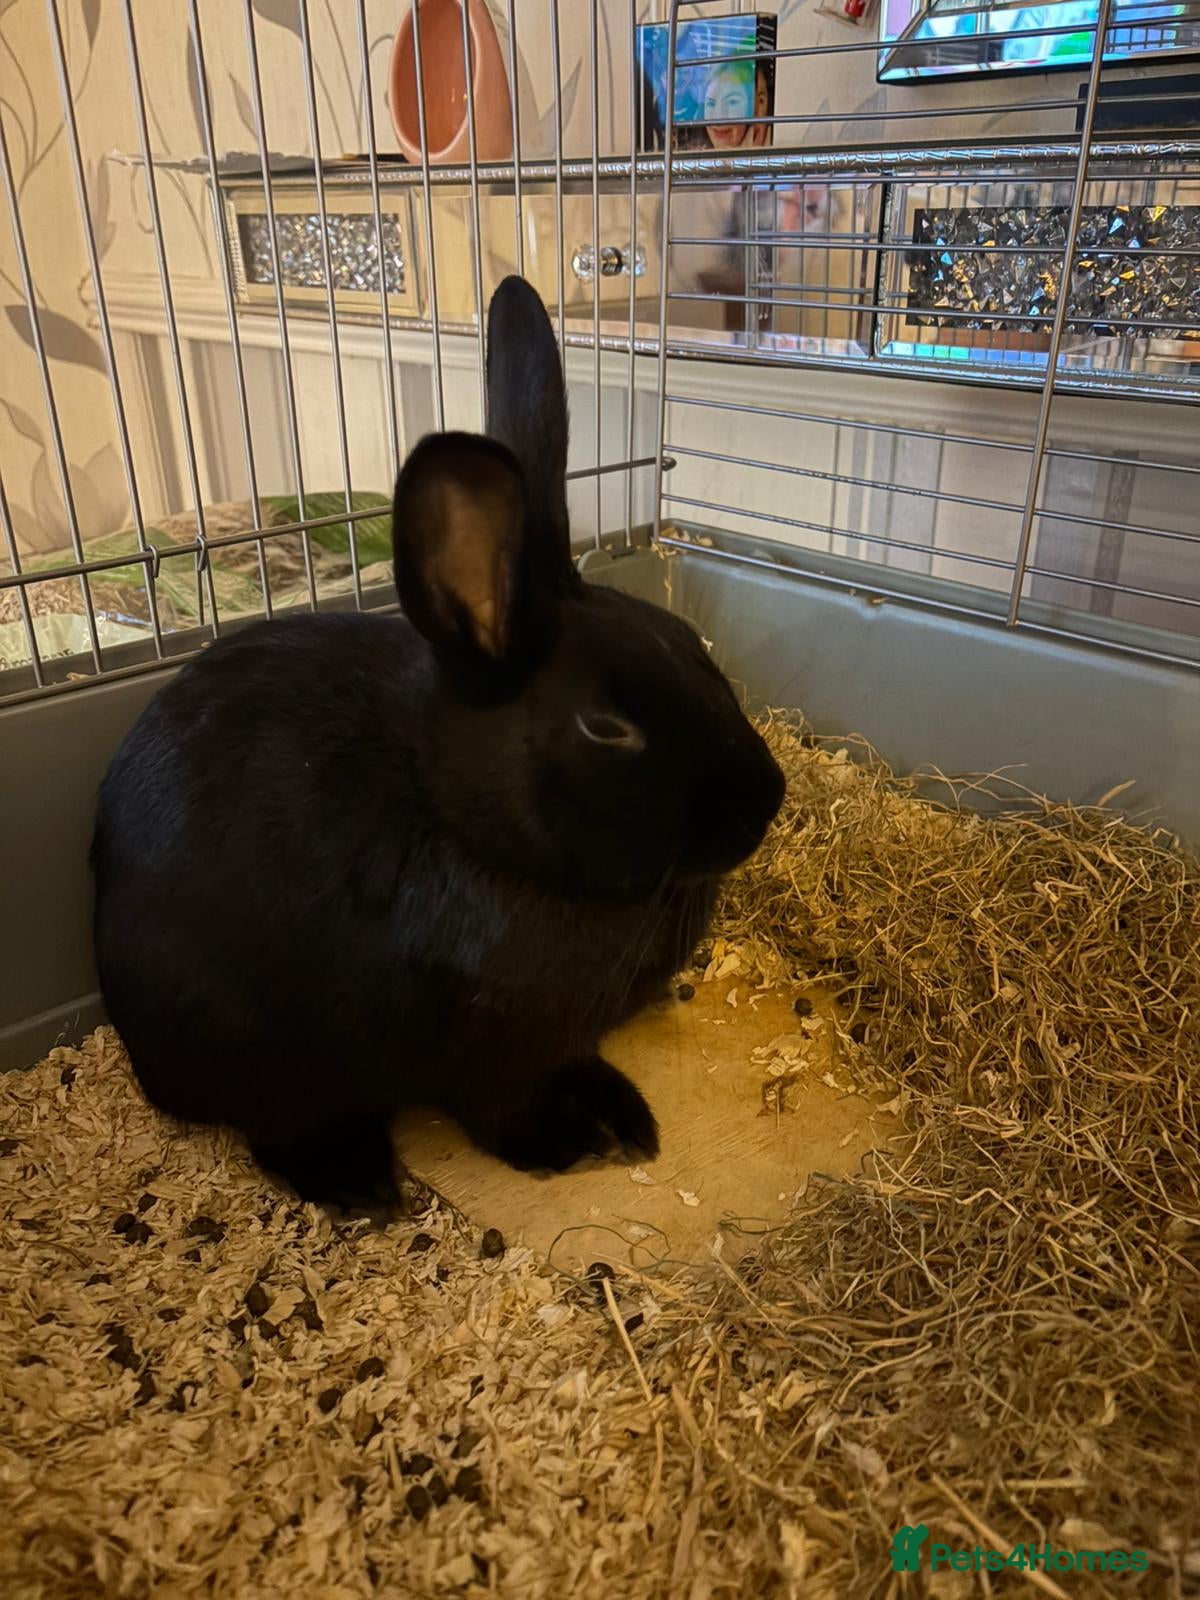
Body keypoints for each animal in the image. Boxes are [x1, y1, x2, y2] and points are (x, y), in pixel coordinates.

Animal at [91, 275, 786, 1212]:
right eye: (607, 726)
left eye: (687, 641)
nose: (768, 801)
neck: (464, 824)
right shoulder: (486, 1055)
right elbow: (500, 1110)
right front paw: (565, 1143)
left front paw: (623, 1115)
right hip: (253, 1051)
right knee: (275, 1127)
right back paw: (360, 1185)